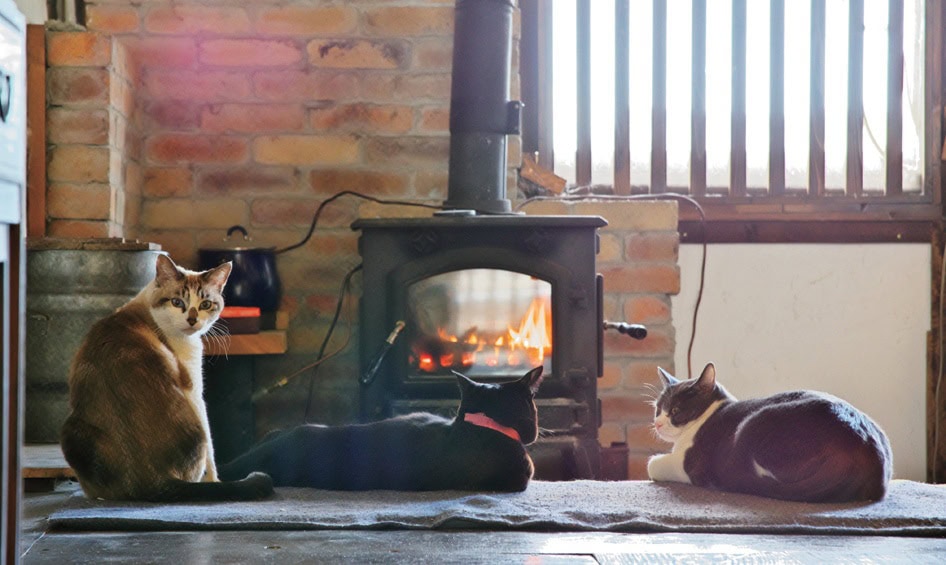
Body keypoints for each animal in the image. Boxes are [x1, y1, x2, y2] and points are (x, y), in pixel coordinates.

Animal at [59, 253, 272, 500]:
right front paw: (215, 481)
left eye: (205, 304)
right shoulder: (195, 391)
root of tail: (152, 481)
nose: (192, 320)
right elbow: (212, 453)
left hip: (70, 432)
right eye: (177, 302)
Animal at [644, 364, 888, 500]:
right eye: (658, 409)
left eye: (675, 410)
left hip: (755, 422)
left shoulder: (689, 464)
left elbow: (652, 464)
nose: (657, 423)